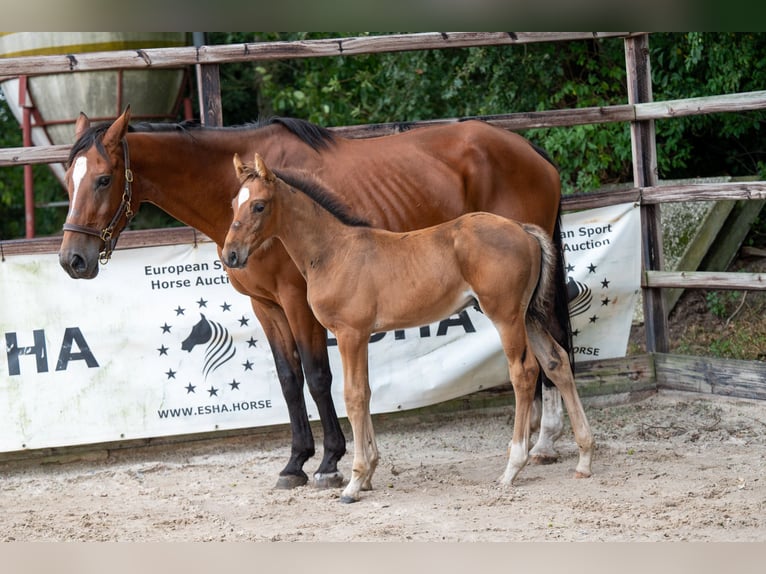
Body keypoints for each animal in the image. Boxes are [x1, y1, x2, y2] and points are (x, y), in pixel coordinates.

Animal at [60, 107, 572, 490]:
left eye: (104, 179)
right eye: (69, 180)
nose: (72, 259)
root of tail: (528, 148)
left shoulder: (297, 302)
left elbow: (318, 375)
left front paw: (329, 463)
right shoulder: (265, 305)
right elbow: (289, 378)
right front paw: (295, 463)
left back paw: (542, 442)